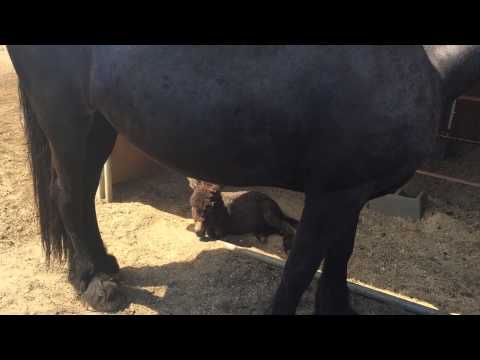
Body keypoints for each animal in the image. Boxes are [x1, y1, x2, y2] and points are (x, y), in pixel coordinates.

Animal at [6, 45, 480, 316]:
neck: (428, 66)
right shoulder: (329, 196)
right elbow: (301, 267)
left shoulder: (353, 193)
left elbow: (338, 259)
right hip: (69, 118)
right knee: (69, 196)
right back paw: (96, 286)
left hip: (100, 124)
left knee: (78, 197)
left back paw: (97, 269)